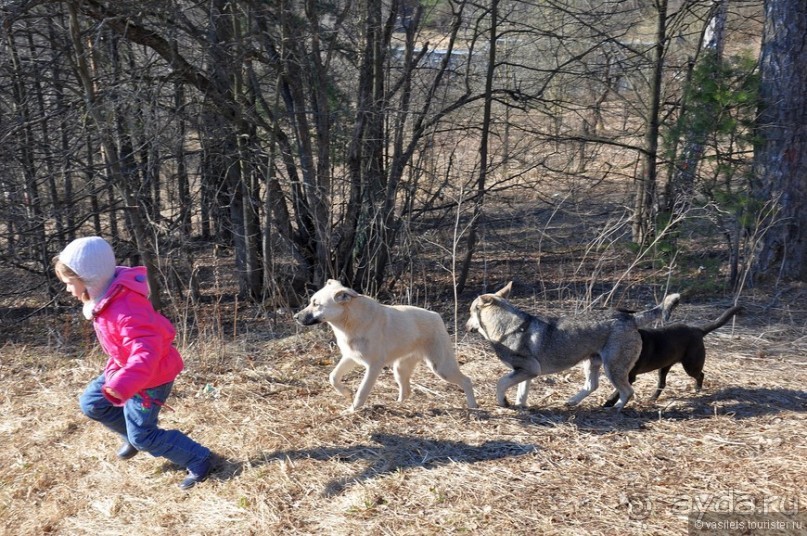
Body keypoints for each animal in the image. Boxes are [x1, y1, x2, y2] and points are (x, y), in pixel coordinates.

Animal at [294, 280, 476, 410]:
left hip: (441, 368)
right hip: (400, 370)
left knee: (467, 380)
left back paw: (473, 407)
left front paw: (352, 410)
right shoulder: (350, 357)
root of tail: (436, 316)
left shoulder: (373, 366)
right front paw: (346, 393)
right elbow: (333, 377)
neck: (351, 322)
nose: (295, 317)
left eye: (316, 304)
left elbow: (362, 392)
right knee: (406, 391)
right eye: (311, 302)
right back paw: (399, 405)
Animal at [464, 280, 680, 410]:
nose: (465, 326)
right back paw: (572, 401)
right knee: (592, 385)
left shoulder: (527, 369)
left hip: (613, 368)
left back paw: (616, 408)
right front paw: (520, 406)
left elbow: (501, 383)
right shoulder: (527, 372)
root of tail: (631, 318)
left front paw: (503, 403)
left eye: (470, 312)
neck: (507, 327)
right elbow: (521, 392)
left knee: (627, 391)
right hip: (592, 363)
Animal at [604, 302, 740, 406]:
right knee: (662, 383)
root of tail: (698, 330)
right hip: (664, 366)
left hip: (691, 365)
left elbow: (618, 390)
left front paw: (609, 402)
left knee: (700, 374)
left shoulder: (628, 375)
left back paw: (697, 389)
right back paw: (653, 398)